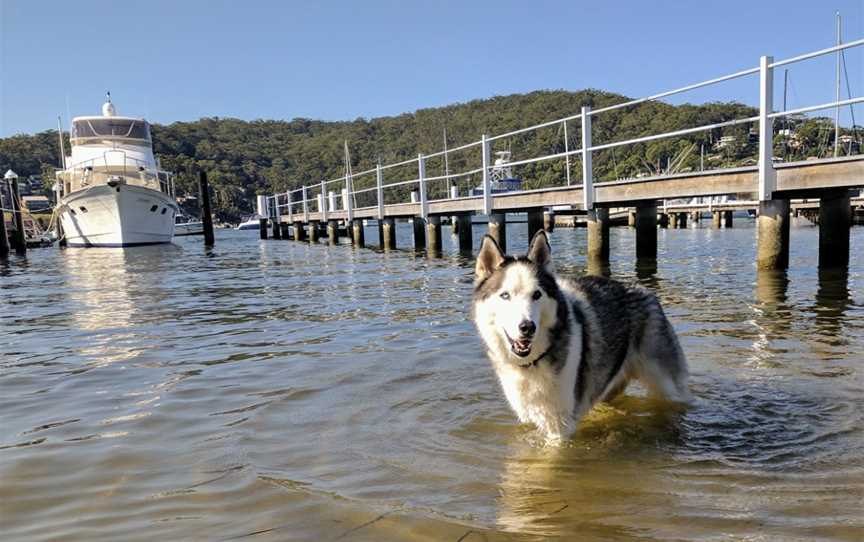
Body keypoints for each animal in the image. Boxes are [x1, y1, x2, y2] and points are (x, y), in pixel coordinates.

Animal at [470, 232, 692, 444]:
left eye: (536, 294)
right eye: (505, 295)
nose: (527, 327)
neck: (533, 361)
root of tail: (644, 290)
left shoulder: (560, 428)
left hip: (667, 386)